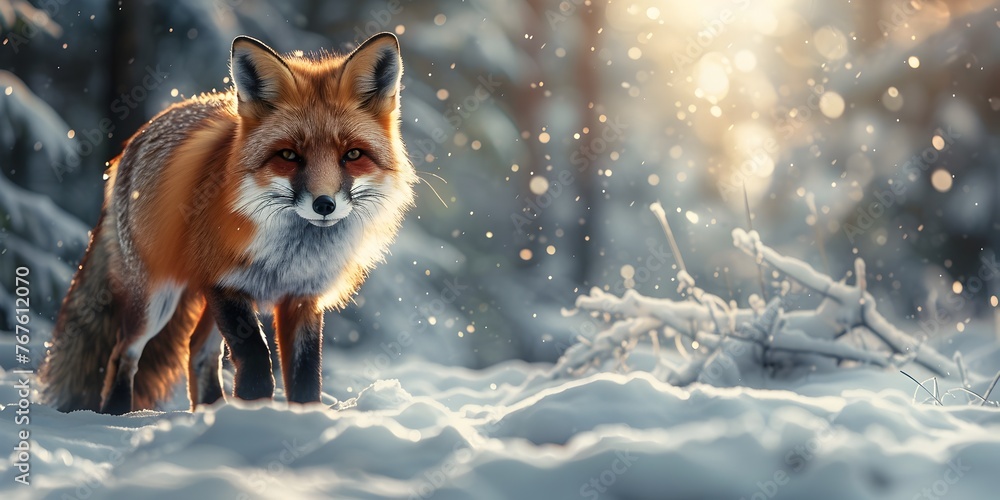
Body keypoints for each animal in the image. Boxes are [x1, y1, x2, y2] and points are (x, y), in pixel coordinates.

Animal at [39, 32, 416, 415]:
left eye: (352, 155)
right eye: (289, 155)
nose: (324, 204)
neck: (290, 256)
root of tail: (129, 145)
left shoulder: (302, 297)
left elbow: (306, 374)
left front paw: (298, 418)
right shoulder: (225, 284)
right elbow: (256, 360)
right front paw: (254, 413)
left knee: (196, 350)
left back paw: (209, 411)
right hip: (156, 301)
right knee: (123, 352)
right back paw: (118, 412)